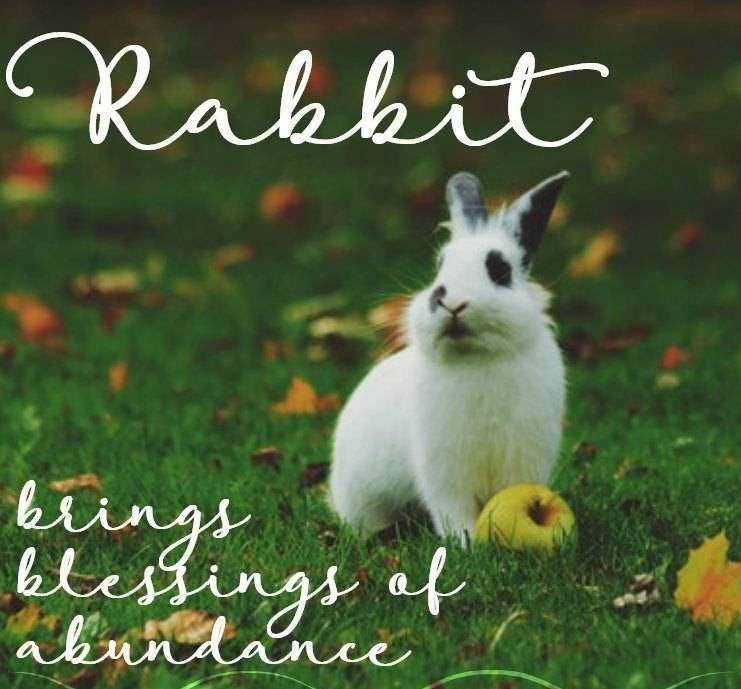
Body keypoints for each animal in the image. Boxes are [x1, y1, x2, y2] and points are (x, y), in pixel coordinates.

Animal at [329, 171, 568, 546]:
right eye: (439, 267)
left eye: (499, 270)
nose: (450, 302)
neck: (478, 358)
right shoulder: (444, 471)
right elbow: (451, 510)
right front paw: (466, 543)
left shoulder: (522, 461)